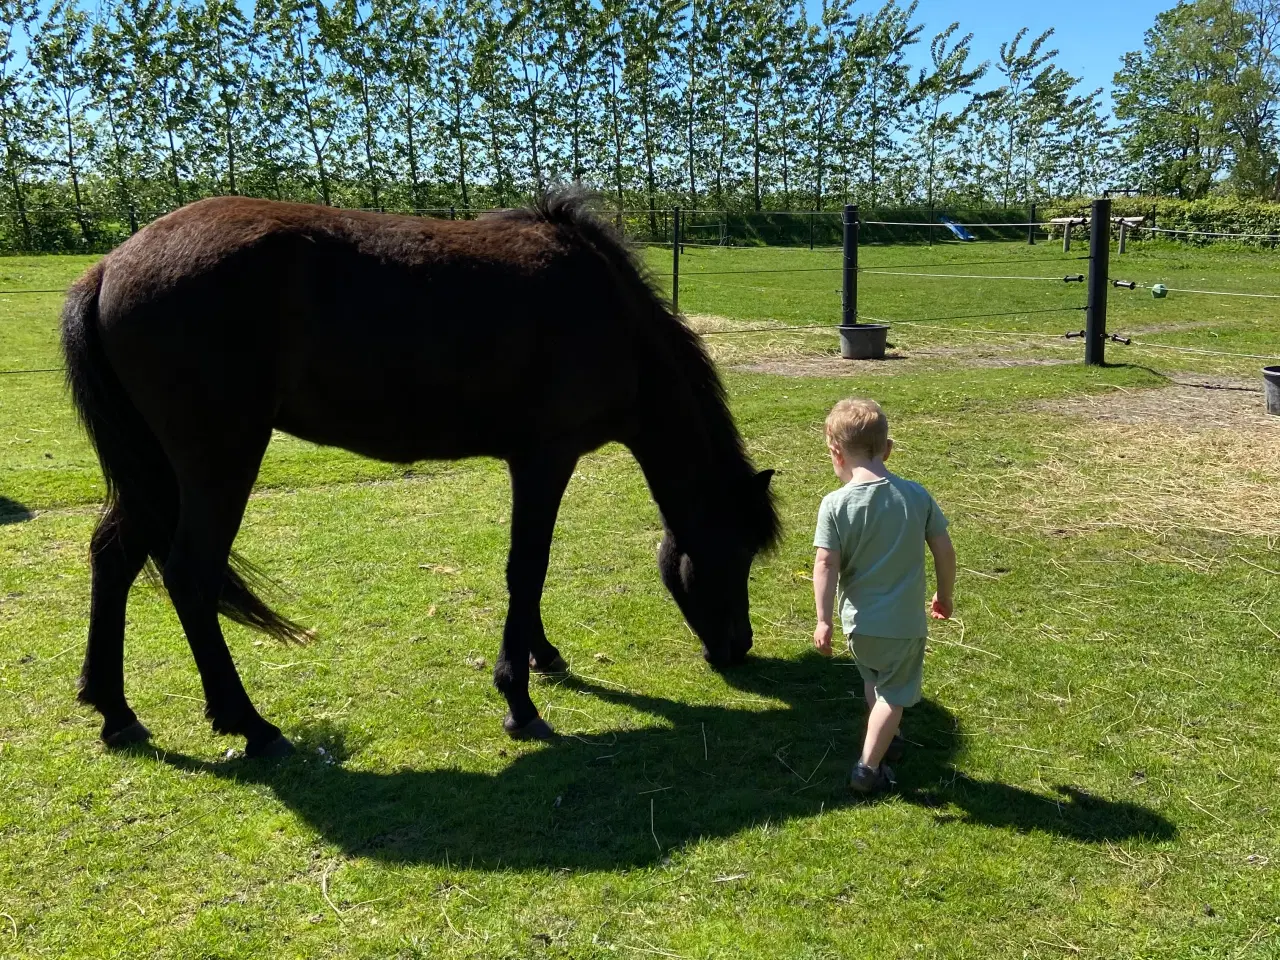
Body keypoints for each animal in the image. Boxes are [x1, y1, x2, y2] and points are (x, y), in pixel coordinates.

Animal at [60, 188, 778, 757]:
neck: (608, 312)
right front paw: (518, 700)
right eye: (737, 553)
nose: (738, 646)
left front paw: (542, 656)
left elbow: (528, 572)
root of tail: (110, 267)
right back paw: (251, 725)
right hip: (216, 464)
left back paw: (116, 713)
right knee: (189, 574)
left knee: (114, 557)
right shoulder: (546, 458)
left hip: (155, 470)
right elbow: (528, 566)